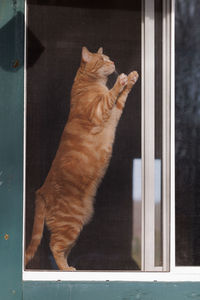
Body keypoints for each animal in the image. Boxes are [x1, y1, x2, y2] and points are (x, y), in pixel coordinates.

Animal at [25, 47, 138, 272]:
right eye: (103, 59)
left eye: (109, 58)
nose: (113, 62)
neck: (90, 85)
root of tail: (42, 190)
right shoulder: (100, 110)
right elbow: (113, 92)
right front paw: (121, 79)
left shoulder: (115, 112)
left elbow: (122, 96)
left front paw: (131, 77)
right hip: (70, 223)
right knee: (55, 247)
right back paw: (66, 269)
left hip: (76, 227)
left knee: (63, 250)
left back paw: (70, 266)